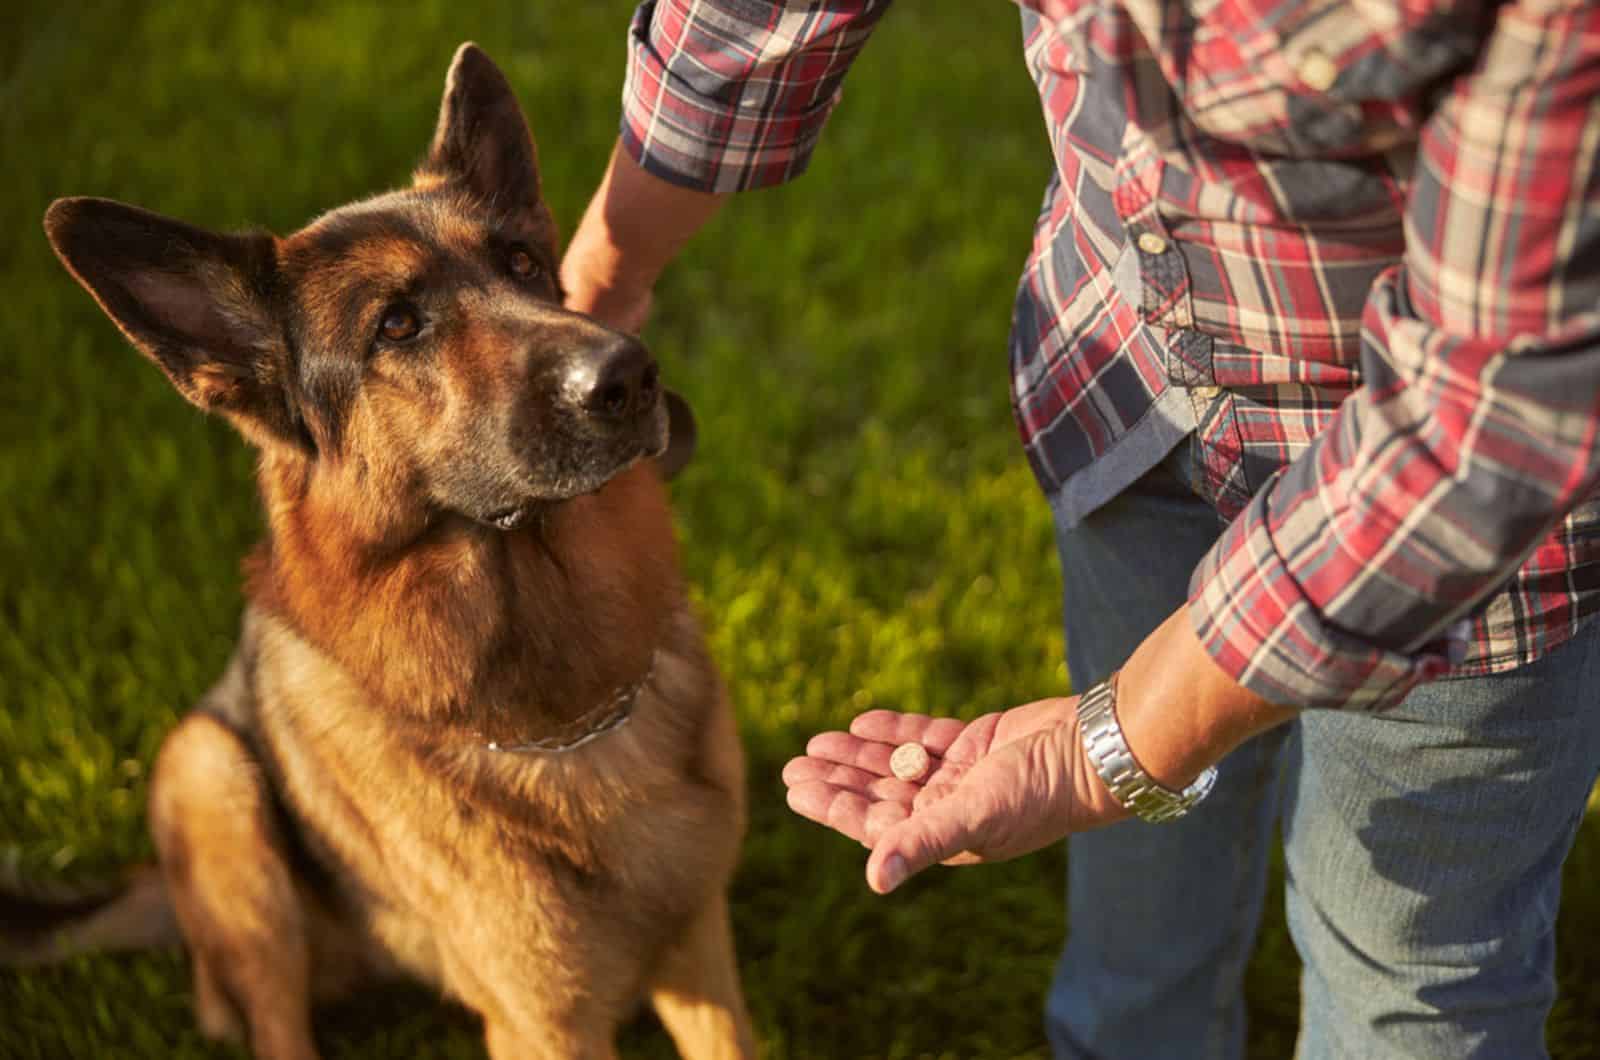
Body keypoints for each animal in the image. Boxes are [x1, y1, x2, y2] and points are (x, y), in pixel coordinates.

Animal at [7, 43, 755, 1060]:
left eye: (524, 264)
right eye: (396, 325)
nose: (630, 376)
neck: (569, 710)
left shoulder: (701, 956)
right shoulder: (546, 1025)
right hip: (211, 779)